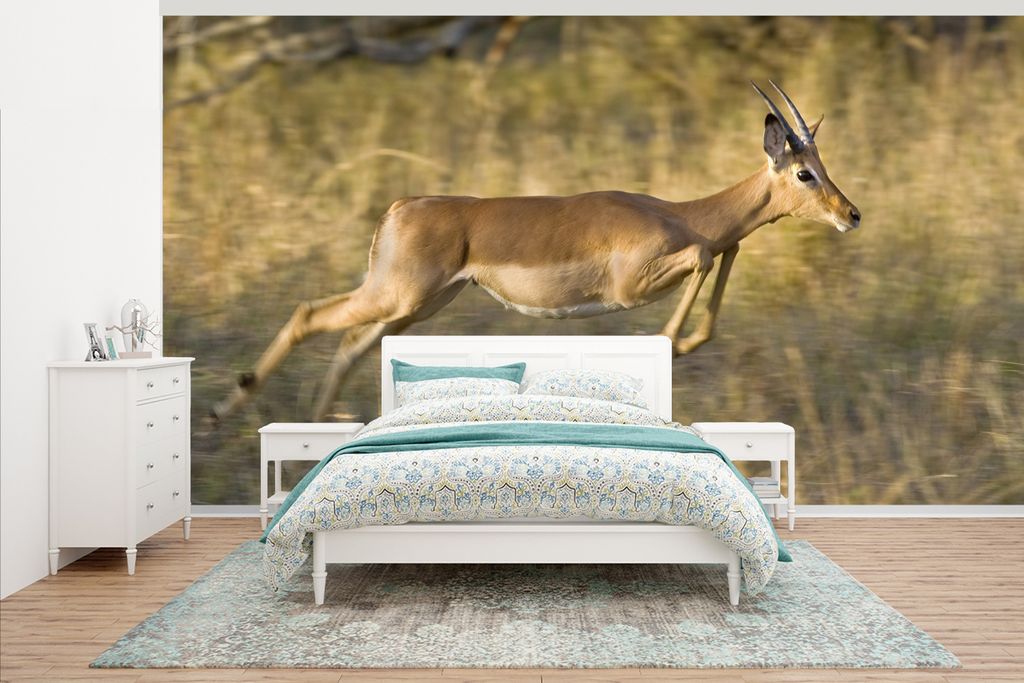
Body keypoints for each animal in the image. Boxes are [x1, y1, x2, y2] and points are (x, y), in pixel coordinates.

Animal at [212, 81, 860, 421]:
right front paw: (671, 344)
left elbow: (724, 255)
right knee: (308, 314)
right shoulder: (630, 287)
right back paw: (230, 406)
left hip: (416, 306)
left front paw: (685, 342)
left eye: (822, 164)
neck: (678, 213)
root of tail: (400, 206)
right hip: (396, 295)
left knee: (349, 344)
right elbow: (705, 256)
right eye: (803, 172)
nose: (851, 214)